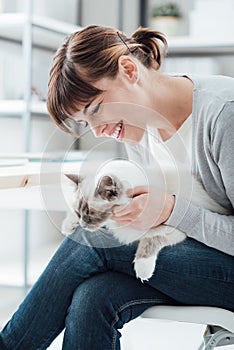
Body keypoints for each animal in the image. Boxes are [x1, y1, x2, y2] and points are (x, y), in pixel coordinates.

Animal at [61, 159, 229, 282]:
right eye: (78, 213)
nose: (83, 225)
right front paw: (68, 226)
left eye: (91, 214)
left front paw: (142, 270)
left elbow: (150, 240)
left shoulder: (172, 230)